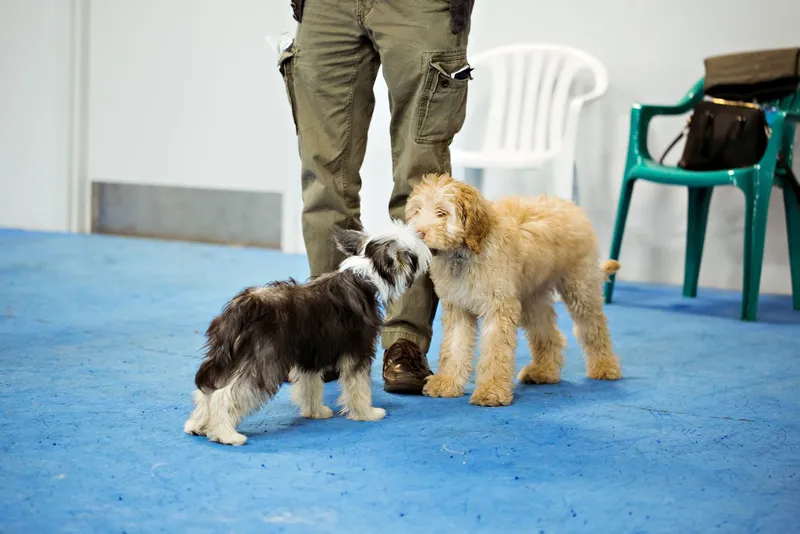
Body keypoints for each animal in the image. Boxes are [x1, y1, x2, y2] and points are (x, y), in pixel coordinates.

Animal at [184, 222, 432, 448]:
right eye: (413, 246)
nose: (423, 234)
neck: (364, 276)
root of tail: (243, 307)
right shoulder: (357, 351)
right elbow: (358, 386)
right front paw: (366, 413)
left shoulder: (310, 355)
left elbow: (310, 386)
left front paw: (316, 412)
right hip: (263, 362)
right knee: (224, 395)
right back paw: (226, 434)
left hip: (229, 356)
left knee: (207, 391)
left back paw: (198, 425)